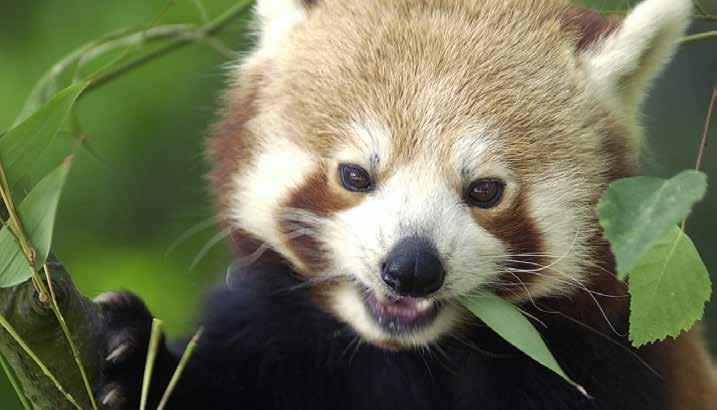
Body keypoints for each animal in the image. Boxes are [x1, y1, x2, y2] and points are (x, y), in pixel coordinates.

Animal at [95, 0, 716, 410]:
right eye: (354, 175)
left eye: (484, 190)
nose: (412, 267)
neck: (408, 356)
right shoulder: (268, 332)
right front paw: (134, 357)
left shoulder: (609, 359)